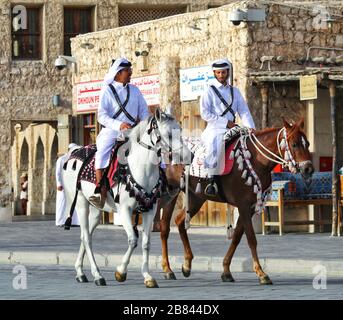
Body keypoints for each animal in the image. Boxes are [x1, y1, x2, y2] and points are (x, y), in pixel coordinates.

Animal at [63, 109, 189, 288]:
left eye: (180, 130)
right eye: (169, 134)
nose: (189, 155)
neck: (141, 168)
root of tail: (74, 151)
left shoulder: (150, 210)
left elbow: (146, 243)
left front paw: (148, 276)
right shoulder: (124, 210)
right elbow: (133, 240)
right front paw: (120, 272)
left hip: (96, 209)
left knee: (85, 236)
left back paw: (80, 272)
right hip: (81, 204)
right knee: (87, 238)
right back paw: (97, 275)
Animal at [159, 119, 314, 284]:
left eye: (308, 143)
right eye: (295, 144)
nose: (308, 168)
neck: (256, 159)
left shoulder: (250, 207)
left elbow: (237, 237)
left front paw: (226, 271)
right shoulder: (243, 205)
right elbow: (251, 238)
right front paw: (261, 273)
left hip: (196, 197)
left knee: (179, 221)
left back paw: (186, 264)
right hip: (169, 193)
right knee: (164, 228)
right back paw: (167, 269)